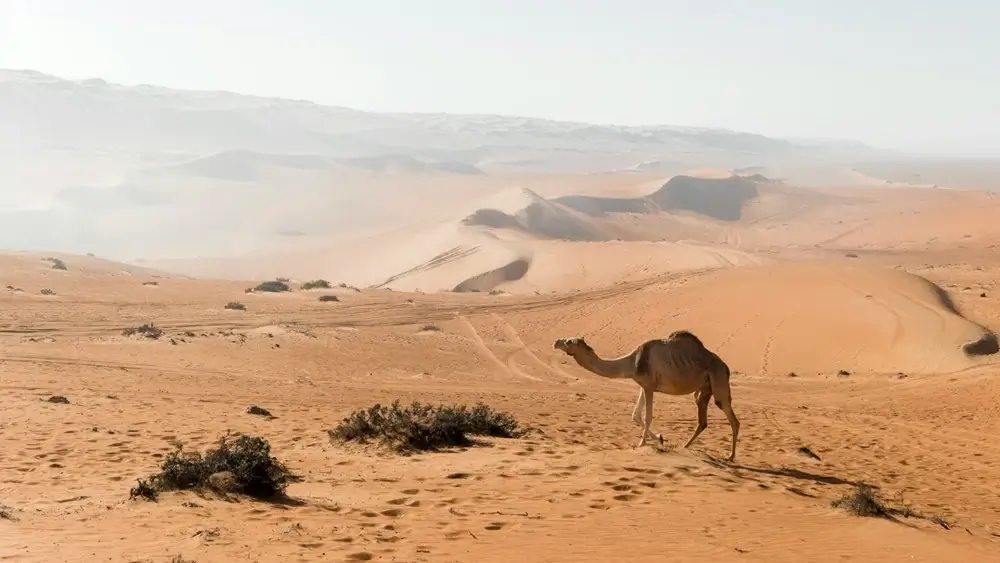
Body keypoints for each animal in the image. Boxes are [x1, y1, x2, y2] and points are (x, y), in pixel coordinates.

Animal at [552, 332, 740, 460]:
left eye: (569, 341)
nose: (555, 342)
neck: (633, 362)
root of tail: (726, 367)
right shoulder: (643, 385)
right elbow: (635, 415)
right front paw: (660, 438)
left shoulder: (649, 386)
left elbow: (647, 416)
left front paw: (642, 444)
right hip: (704, 389)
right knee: (702, 420)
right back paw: (685, 446)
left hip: (719, 381)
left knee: (732, 418)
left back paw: (730, 457)